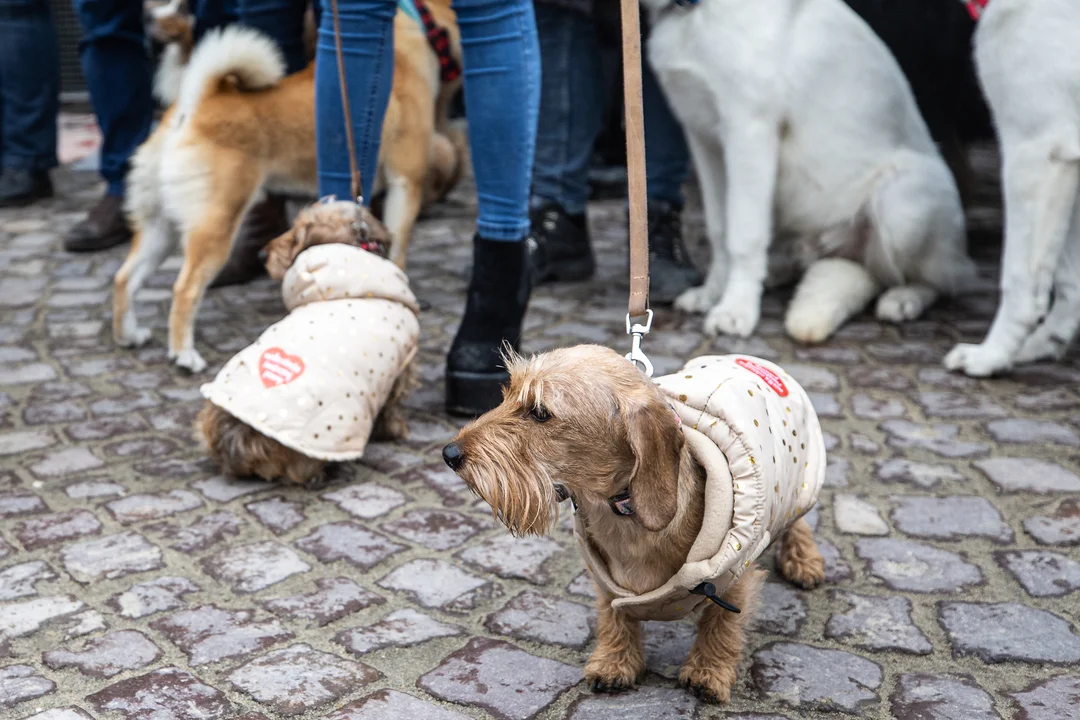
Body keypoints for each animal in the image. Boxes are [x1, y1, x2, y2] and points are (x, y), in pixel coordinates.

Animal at [639, 0, 980, 343]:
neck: (696, 12)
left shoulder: (748, 132)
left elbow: (743, 236)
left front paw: (736, 310)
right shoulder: (704, 139)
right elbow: (719, 229)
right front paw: (713, 294)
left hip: (900, 199)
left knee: (943, 279)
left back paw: (905, 298)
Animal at [946, 0, 1080, 379]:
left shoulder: (1033, 153)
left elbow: (1018, 278)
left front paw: (991, 356)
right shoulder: (1066, 157)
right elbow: (1069, 276)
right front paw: (1046, 342)